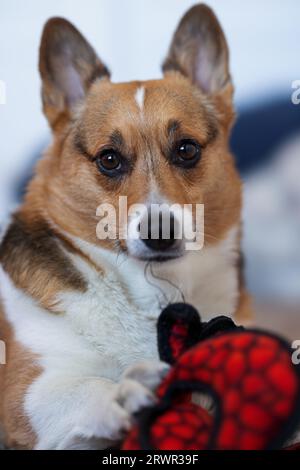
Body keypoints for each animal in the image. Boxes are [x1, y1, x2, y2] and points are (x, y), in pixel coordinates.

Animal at [0, 4, 252, 452]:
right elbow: (87, 386)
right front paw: (123, 392)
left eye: (186, 149)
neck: (155, 292)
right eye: (109, 159)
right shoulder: (23, 395)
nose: (160, 233)